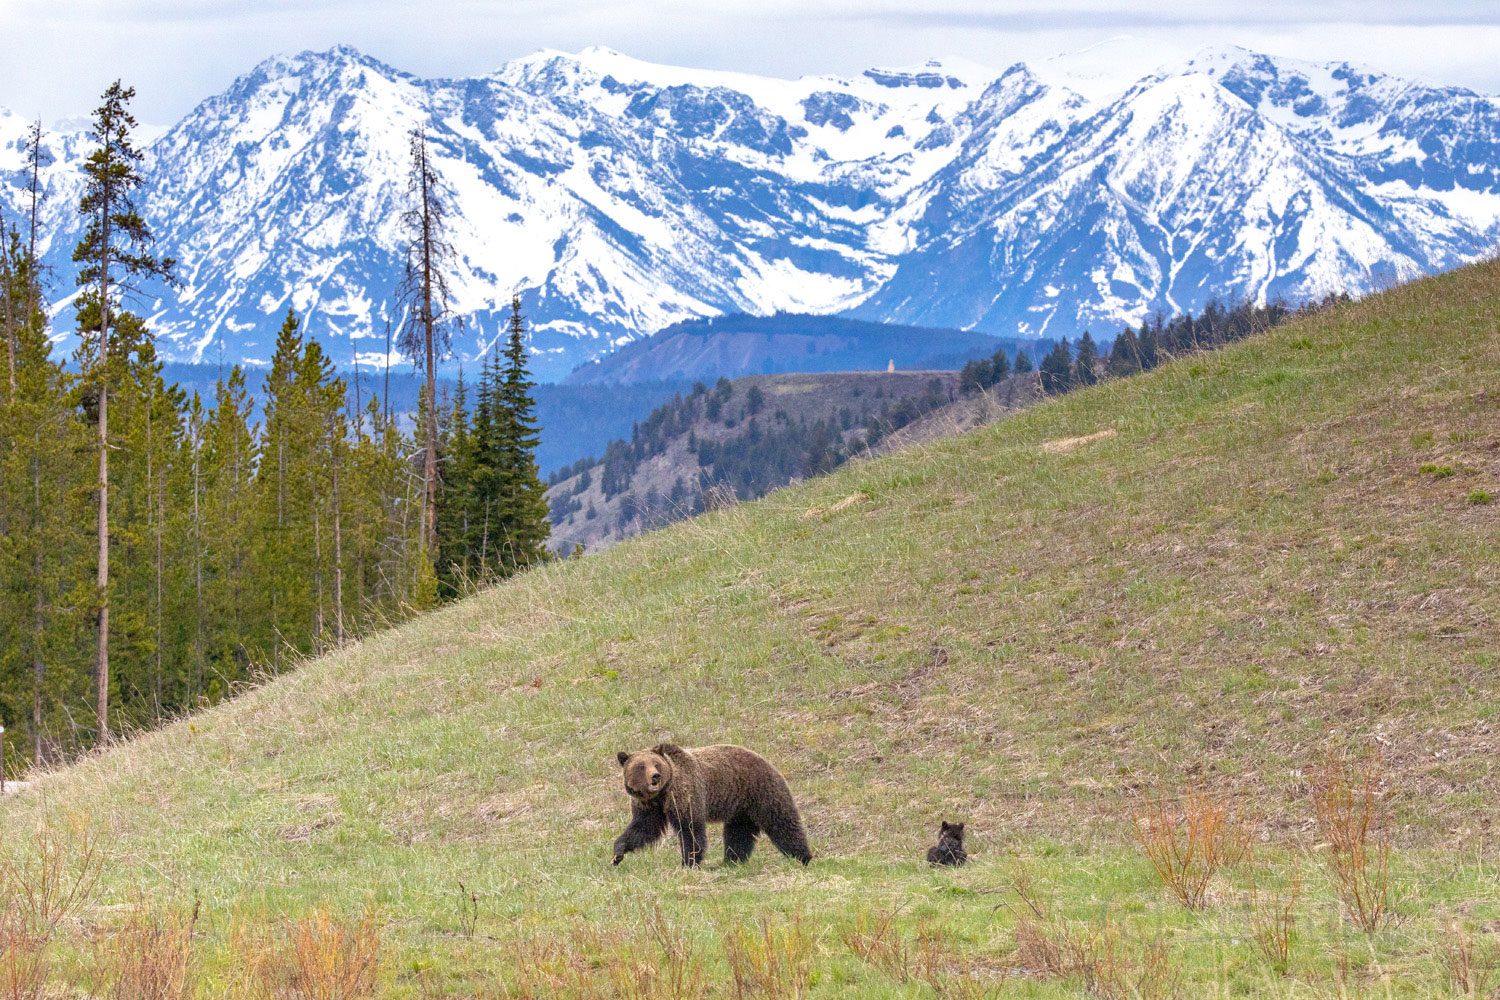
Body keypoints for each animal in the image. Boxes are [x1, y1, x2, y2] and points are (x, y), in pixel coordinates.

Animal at [612, 743, 810, 869]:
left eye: (656, 763)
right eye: (641, 766)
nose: (655, 776)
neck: (662, 794)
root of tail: (765, 760)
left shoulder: (685, 794)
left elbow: (690, 829)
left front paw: (688, 862)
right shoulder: (650, 806)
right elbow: (643, 828)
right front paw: (617, 854)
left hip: (760, 789)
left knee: (782, 822)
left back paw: (802, 856)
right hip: (741, 808)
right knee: (738, 834)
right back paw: (732, 861)